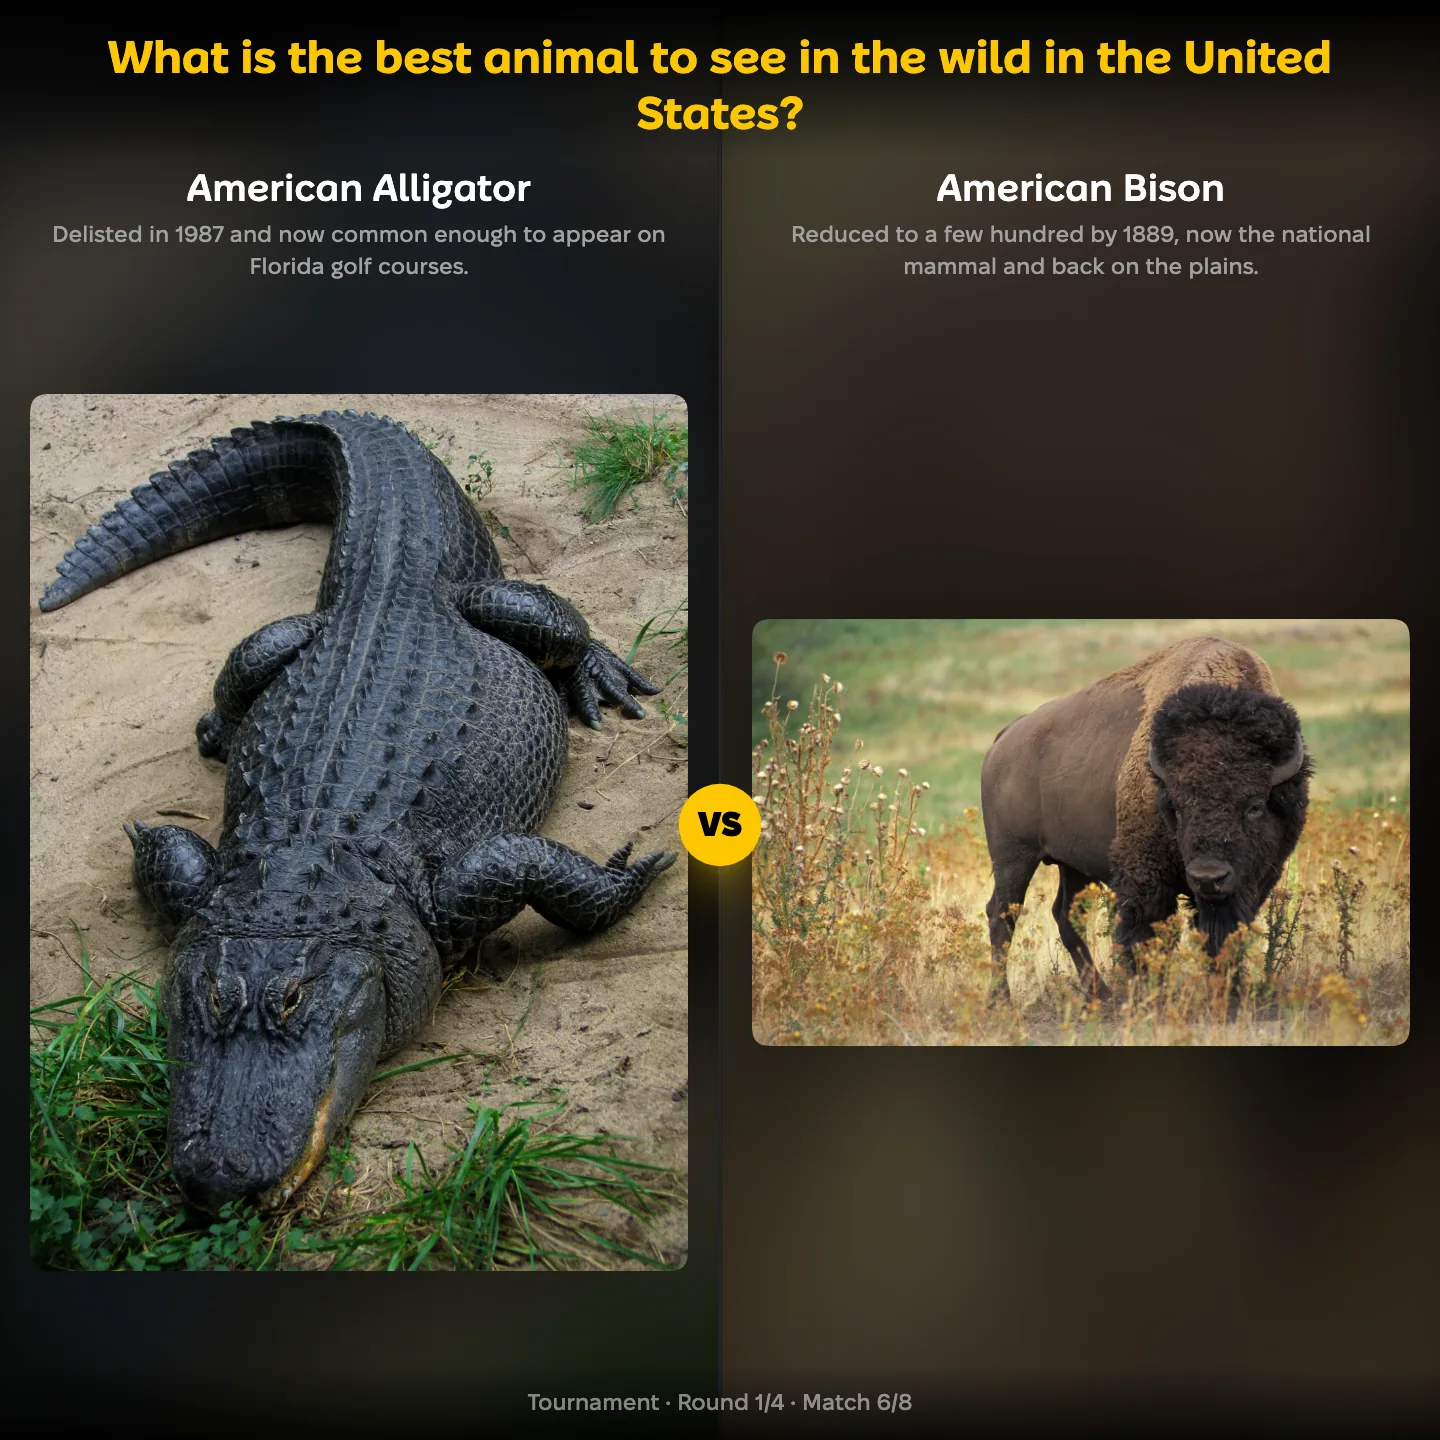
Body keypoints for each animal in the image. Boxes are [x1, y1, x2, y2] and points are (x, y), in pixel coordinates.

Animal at [980, 637, 1311, 1002]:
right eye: (1176, 806)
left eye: (1255, 806)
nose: (1208, 877)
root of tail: (1005, 737)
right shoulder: (1146, 879)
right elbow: (1146, 937)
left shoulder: (1253, 881)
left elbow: (1224, 935)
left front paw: (1228, 993)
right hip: (1014, 857)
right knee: (1002, 915)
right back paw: (1001, 1000)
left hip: (1072, 864)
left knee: (1065, 916)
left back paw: (1101, 995)